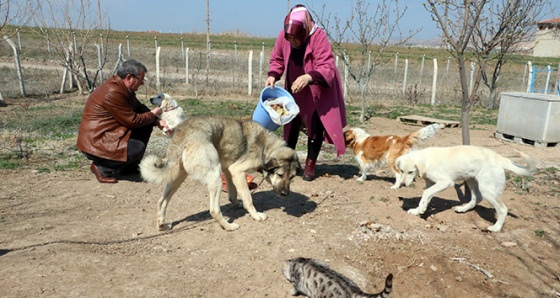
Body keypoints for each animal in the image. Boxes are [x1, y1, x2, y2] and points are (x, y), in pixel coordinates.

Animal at [139, 116, 302, 230]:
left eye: (292, 177)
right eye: (280, 175)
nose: (285, 194)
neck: (266, 147)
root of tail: (184, 132)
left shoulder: (229, 172)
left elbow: (233, 194)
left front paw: (237, 204)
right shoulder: (237, 171)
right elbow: (248, 199)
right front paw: (255, 215)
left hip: (177, 177)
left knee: (161, 202)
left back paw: (162, 226)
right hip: (214, 176)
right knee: (214, 210)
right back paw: (229, 227)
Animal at [392, 146, 536, 232]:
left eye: (411, 172)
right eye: (401, 171)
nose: (402, 185)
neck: (427, 160)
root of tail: (500, 158)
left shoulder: (446, 182)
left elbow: (426, 193)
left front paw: (420, 210)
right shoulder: (431, 183)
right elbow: (426, 197)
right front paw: (419, 211)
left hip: (487, 189)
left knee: (502, 209)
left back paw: (496, 227)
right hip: (471, 181)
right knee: (476, 198)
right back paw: (463, 209)